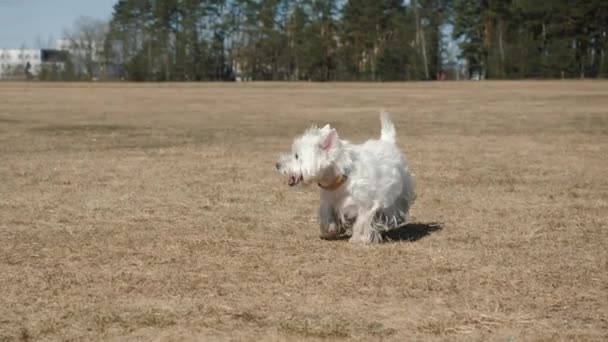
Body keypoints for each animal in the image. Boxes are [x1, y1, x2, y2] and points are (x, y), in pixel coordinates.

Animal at [276, 111, 416, 243]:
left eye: (297, 156)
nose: (277, 164)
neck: (341, 179)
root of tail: (387, 141)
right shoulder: (328, 201)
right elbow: (327, 214)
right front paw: (331, 229)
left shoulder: (366, 204)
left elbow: (362, 221)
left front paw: (359, 239)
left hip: (400, 191)